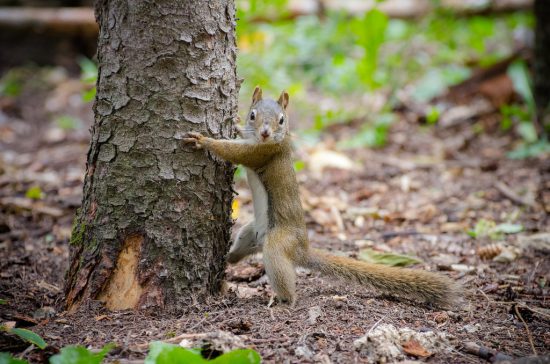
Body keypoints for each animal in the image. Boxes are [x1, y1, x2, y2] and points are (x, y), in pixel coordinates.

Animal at [185, 86, 462, 308]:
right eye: (253, 114)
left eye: (282, 120)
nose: (264, 133)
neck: (269, 140)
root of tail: (302, 250)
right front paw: (235, 122)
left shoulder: (263, 153)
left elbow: (233, 151)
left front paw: (203, 140)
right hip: (250, 233)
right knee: (242, 247)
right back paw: (229, 258)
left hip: (278, 243)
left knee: (281, 273)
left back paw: (284, 301)